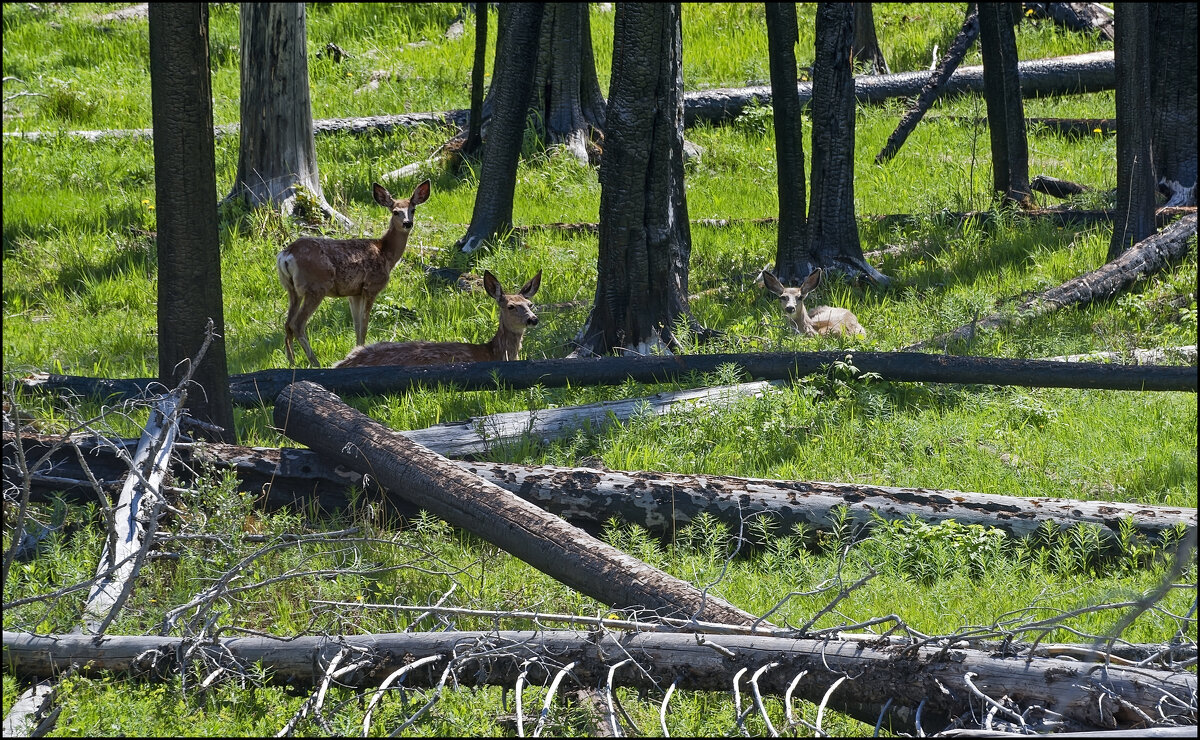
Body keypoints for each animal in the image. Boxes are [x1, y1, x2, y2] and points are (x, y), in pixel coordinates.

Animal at [276, 178, 432, 364]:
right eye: (395, 212)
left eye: (413, 209)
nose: (408, 223)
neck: (385, 253)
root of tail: (287, 254)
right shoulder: (371, 286)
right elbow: (364, 326)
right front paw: (361, 351)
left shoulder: (354, 293)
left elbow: (356, 326)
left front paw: (356, 350)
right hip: (316, 286)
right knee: (297, 324)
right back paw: (314, 361)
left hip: (292, 289)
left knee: (287, 323)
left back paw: (291, 361)